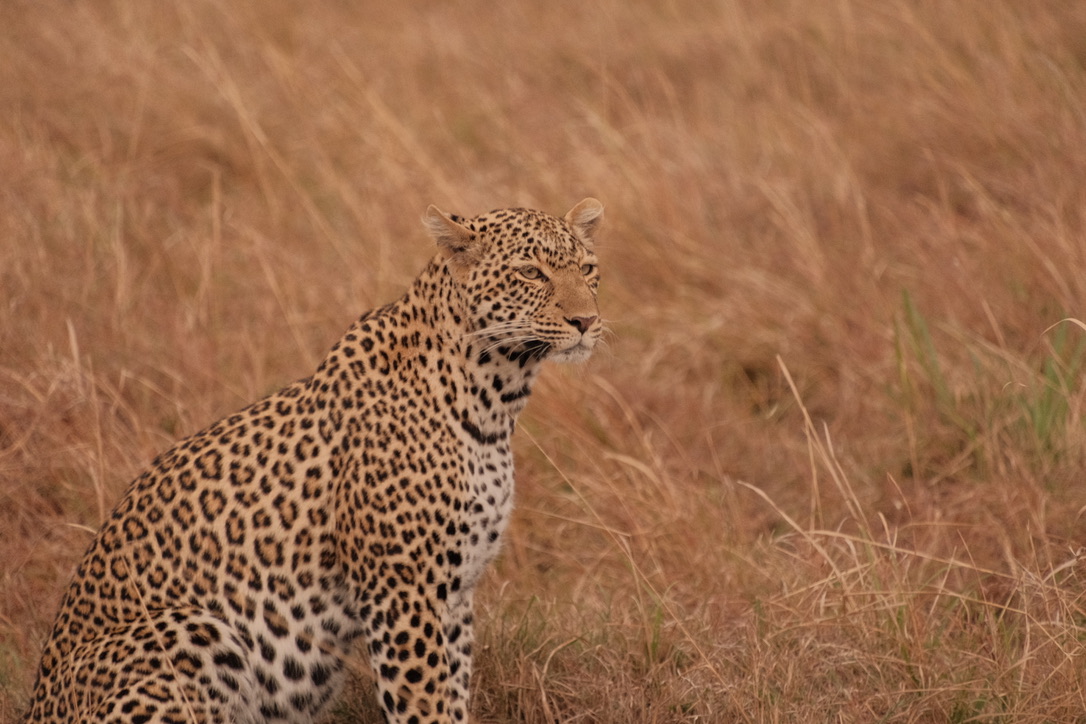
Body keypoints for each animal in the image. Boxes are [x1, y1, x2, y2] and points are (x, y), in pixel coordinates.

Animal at [22, 198, 605, 724]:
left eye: (587, 269)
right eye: (530, 272)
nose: (586, 321)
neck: (494, 397)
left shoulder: (456, 595)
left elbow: (453, 697)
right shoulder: (403, 591)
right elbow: (426, 704)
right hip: (196, 630)